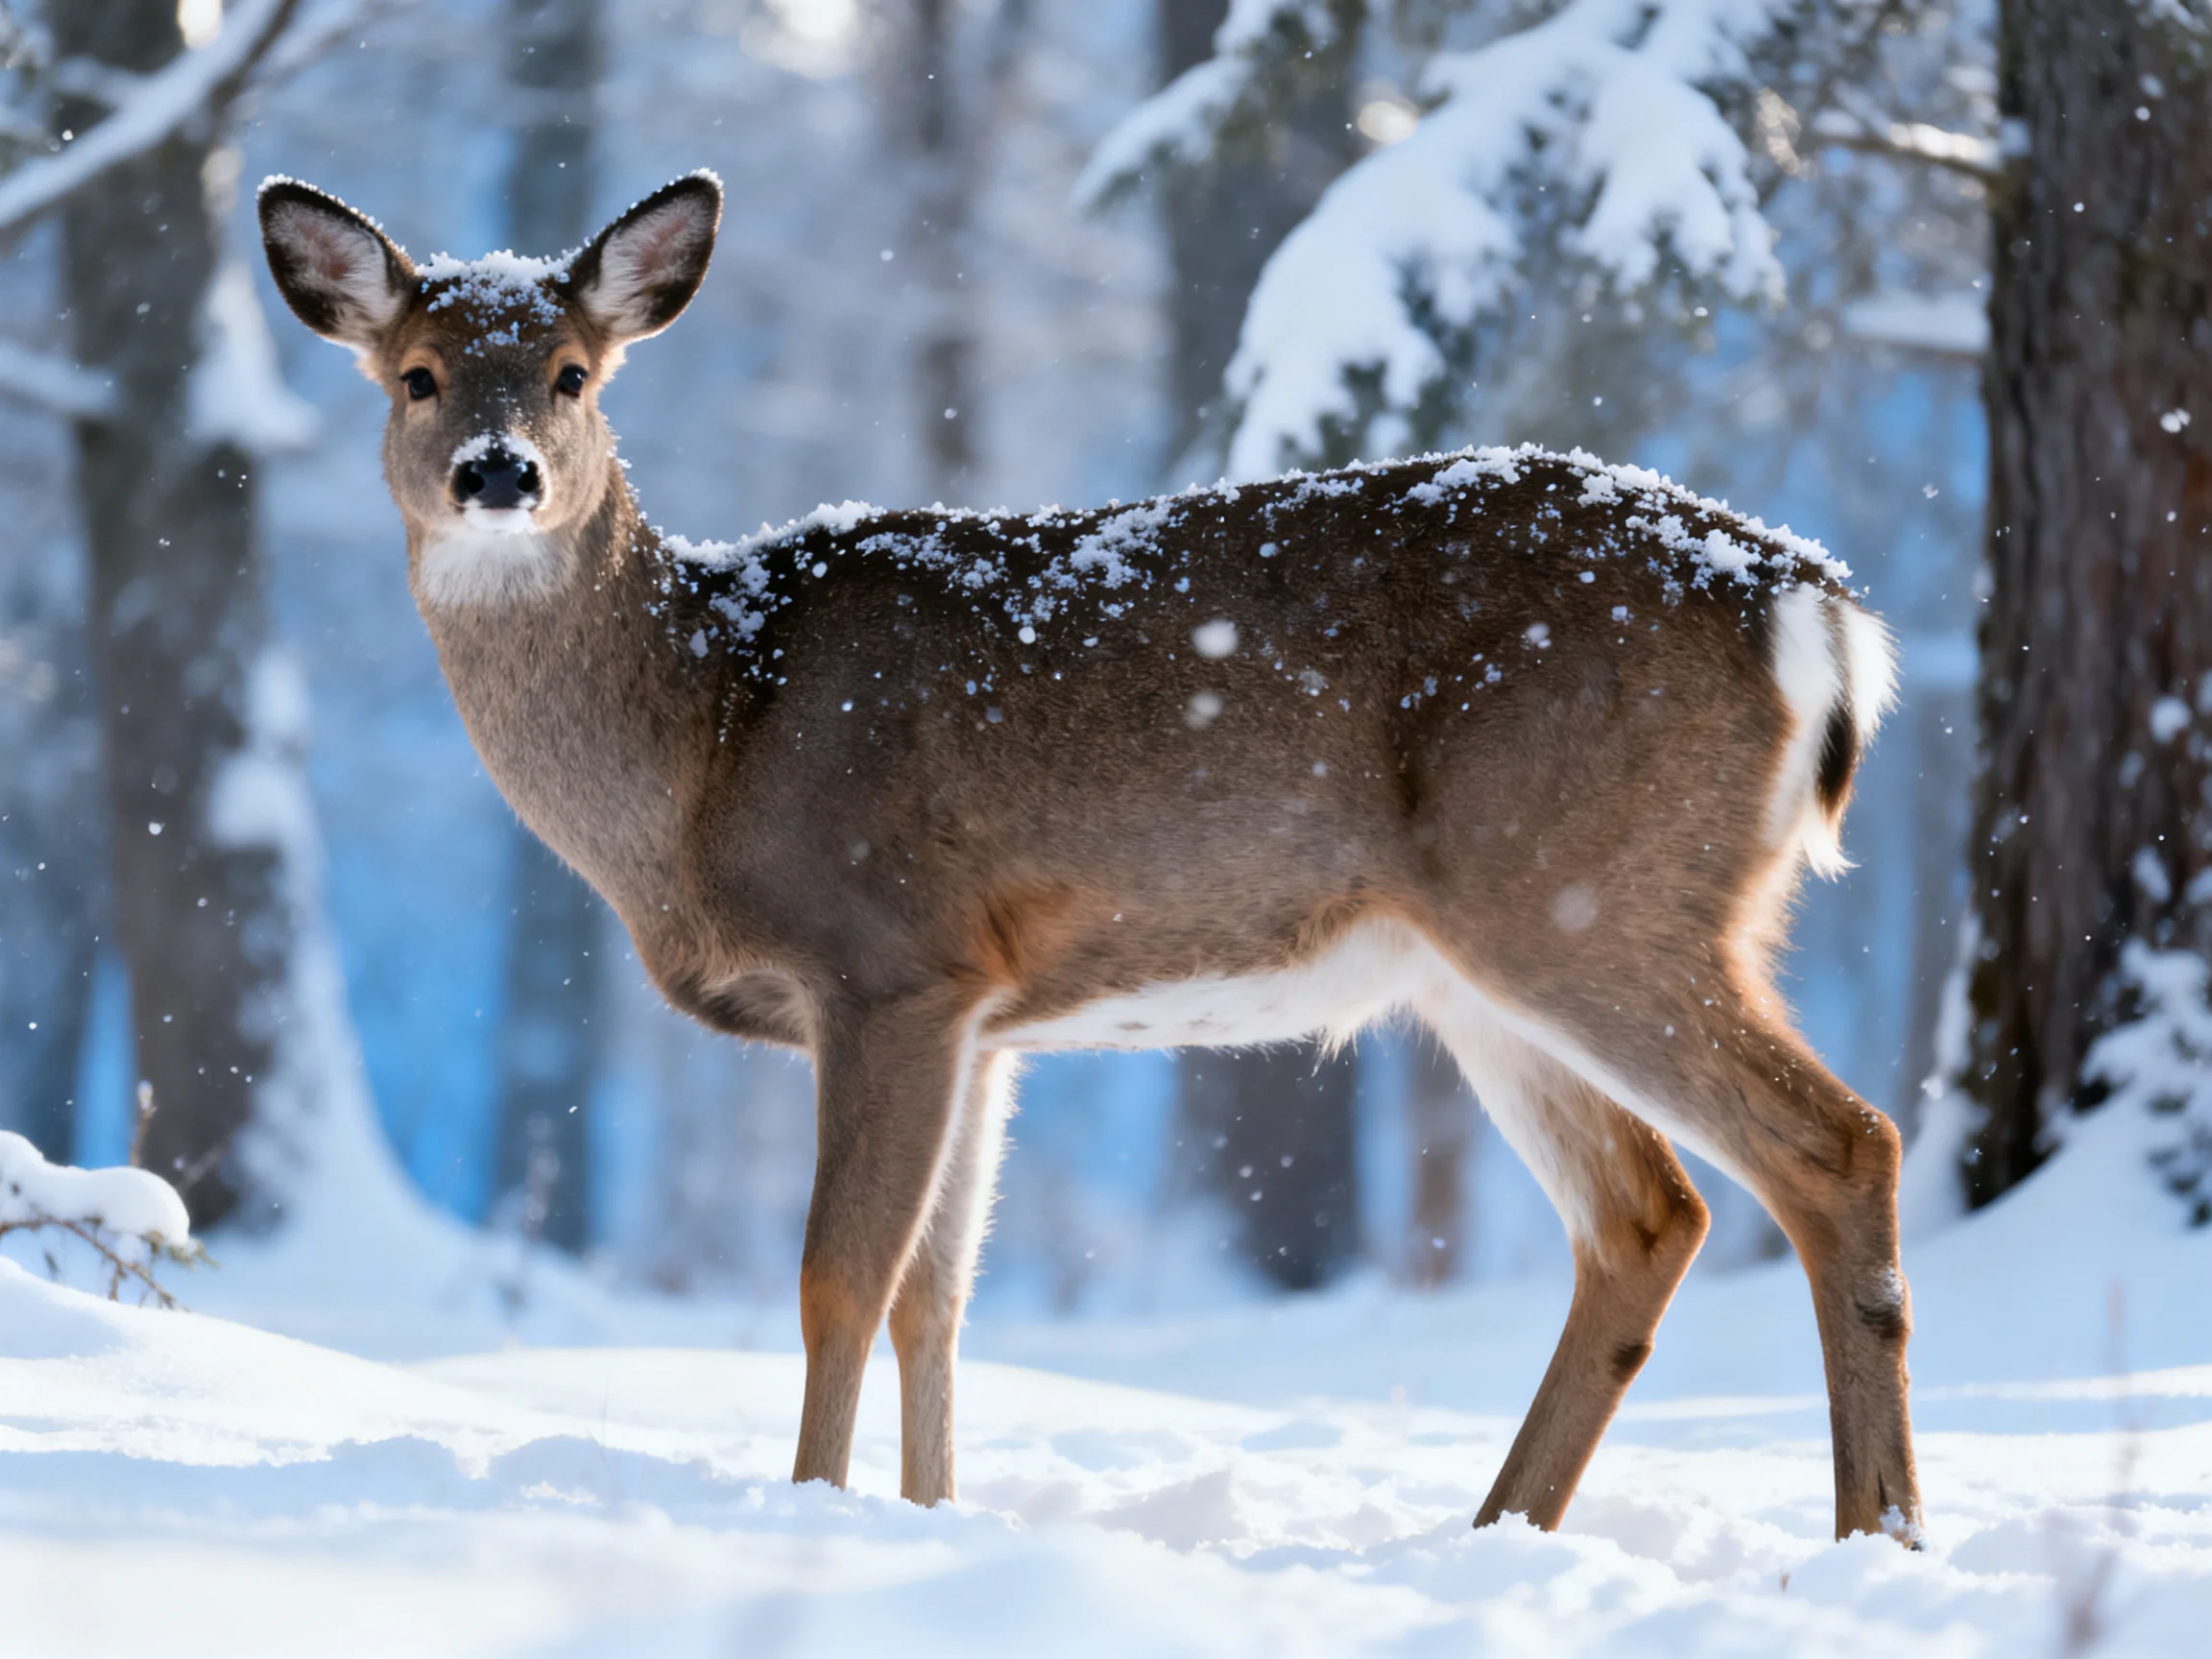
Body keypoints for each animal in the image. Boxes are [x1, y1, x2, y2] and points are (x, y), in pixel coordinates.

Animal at [258, 170, 1921, 1544]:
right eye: (414, 375)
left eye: (573, 374)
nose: (498, 473)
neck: (712, 732)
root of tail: (1817, 607)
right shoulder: (989, 1017)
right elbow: (939, 1299)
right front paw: (933, 1521)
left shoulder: (891, 960)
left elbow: (837, 1279)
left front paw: (813, 1516)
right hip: (1481, 967)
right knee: (1651, 1216)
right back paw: (1502, 1532)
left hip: (1592, 893)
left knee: (1838, 1147)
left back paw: (1877, 1537)